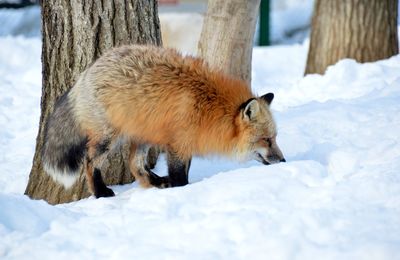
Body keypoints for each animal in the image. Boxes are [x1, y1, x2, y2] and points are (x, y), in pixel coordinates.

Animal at [41, 44, 284, 197]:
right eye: (267, 139)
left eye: (274, 137)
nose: (283, 161)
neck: (209, 106)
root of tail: (86, 72)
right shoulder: (177, 143)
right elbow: (179, 176)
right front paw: (181, 191)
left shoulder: (186, 143)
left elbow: (184, 170)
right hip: (107, 138)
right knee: (90, 163)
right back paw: (101, 193)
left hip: (144, 133)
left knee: (135, 165)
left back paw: (156, 182)